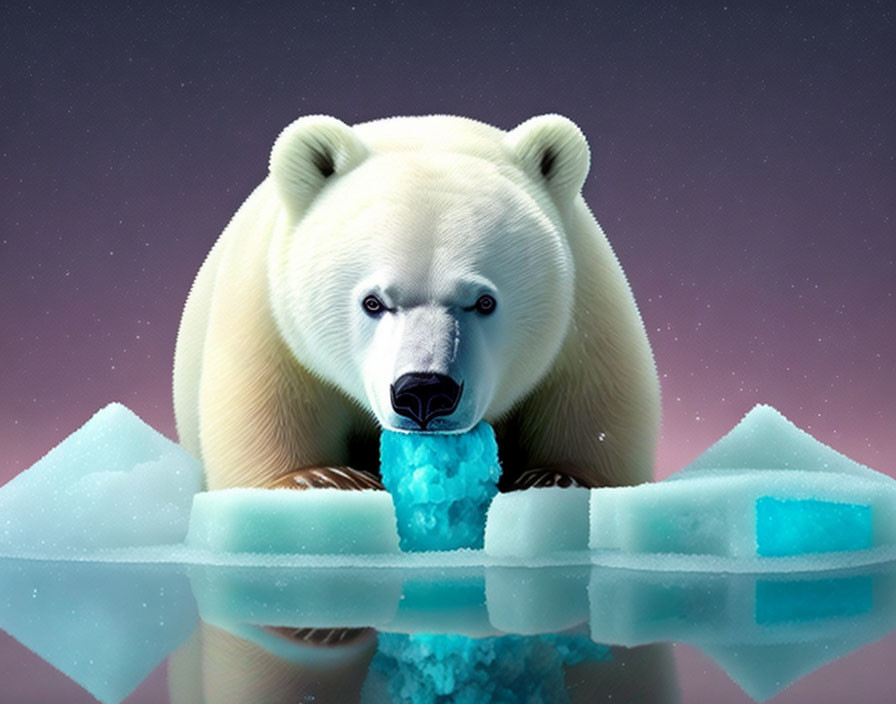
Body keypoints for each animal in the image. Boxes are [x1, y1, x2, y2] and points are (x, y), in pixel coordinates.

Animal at [173, 113, 656, 492]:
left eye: (484, 302)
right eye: (372, 302)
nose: (424, 393)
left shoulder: (585, 308)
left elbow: (597, 402)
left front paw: (555, 476)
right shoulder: (267, 314)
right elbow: (263, 401)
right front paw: (320, 476)